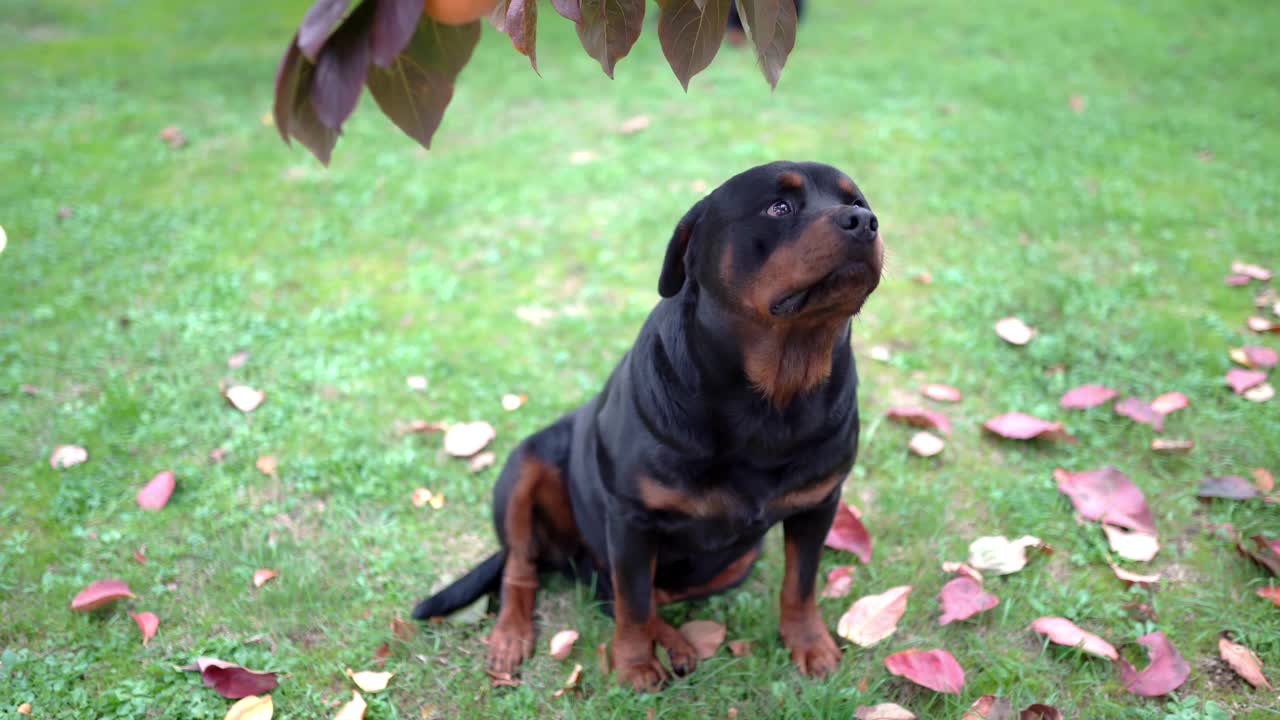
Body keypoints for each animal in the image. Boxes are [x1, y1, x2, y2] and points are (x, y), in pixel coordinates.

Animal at [414, 159, 885, 686]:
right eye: (779, 207)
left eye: (857, 201)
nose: (863, 222)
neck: (772, 396)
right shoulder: (631, 519)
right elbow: (633, 602)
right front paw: (635, 664)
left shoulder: (819, 504)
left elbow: (799, 584)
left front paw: (809, 644)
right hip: (525, 466)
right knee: (530, 565)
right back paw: (511, 637)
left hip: (739, 558)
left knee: (628, 589)